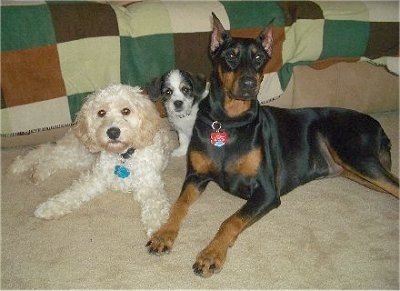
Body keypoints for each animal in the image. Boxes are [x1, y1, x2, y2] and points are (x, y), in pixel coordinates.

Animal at [8, 84, 174, 237]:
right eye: (101, 112)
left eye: (126, 111)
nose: (113, 132)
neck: (122, 157)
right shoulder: (95, 178)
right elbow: (72, 193)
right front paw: (50, 207)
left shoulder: (149, 185)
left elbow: (155, 205)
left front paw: (158, 231)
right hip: (80, 152)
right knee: (46, 151)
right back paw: (21, 165)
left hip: (81, 158)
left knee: (52, 158)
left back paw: (37, 173)